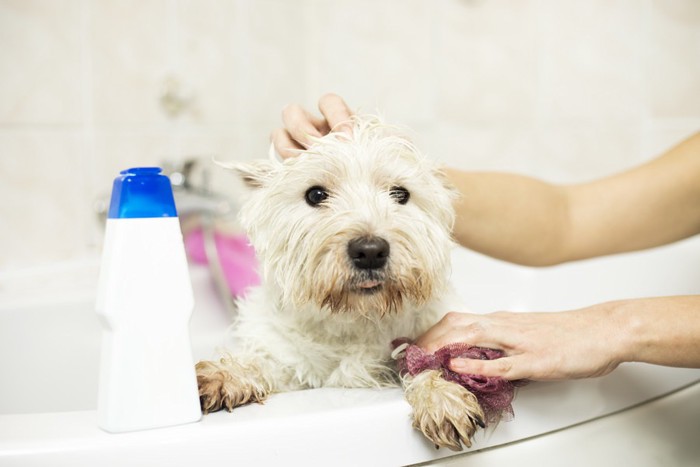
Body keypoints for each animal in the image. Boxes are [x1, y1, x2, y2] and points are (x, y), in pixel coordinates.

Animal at [197, 116, 490, 450]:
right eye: (315, 195)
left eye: (400, 194)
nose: (370, 251)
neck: (354, 318)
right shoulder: (296, 363)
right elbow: (265, 361)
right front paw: (224, 374)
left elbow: (424, 361)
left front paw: (440, 397)